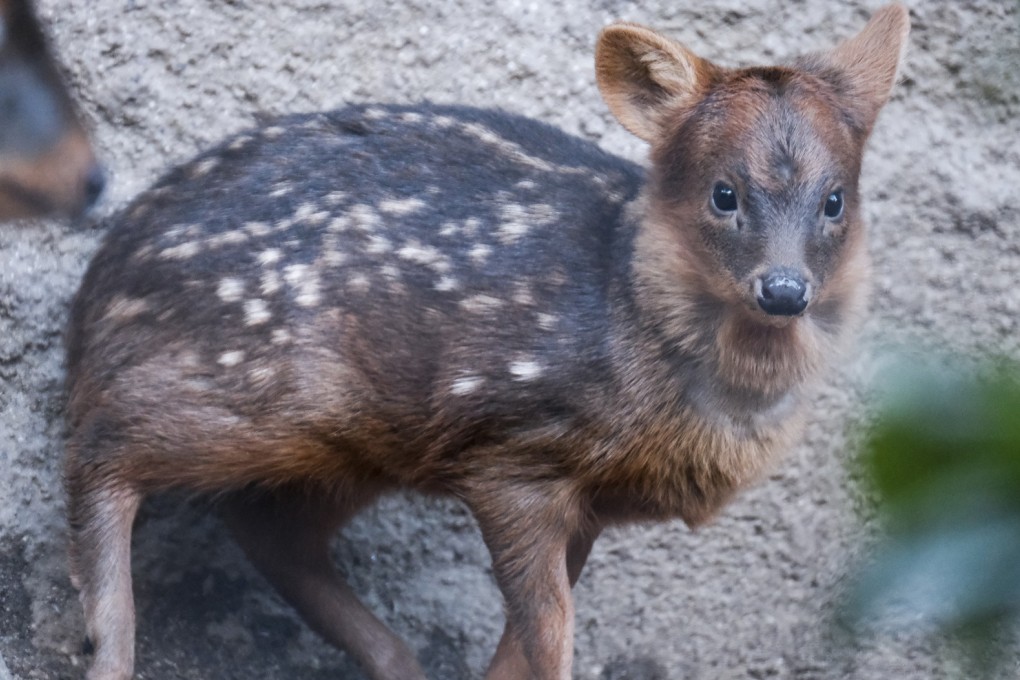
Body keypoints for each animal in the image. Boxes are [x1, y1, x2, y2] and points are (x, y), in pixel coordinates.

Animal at [64, 5, 909, 679]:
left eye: (836, 200)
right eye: (723, 193)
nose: (785, 290)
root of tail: (96, 291)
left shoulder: (587, 499)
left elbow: (522, 641)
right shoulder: (513, 451)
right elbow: (550, 629)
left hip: (355, 442)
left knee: (267, 527)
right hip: (257, 384)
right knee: (103, 446)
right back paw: (108, 640)